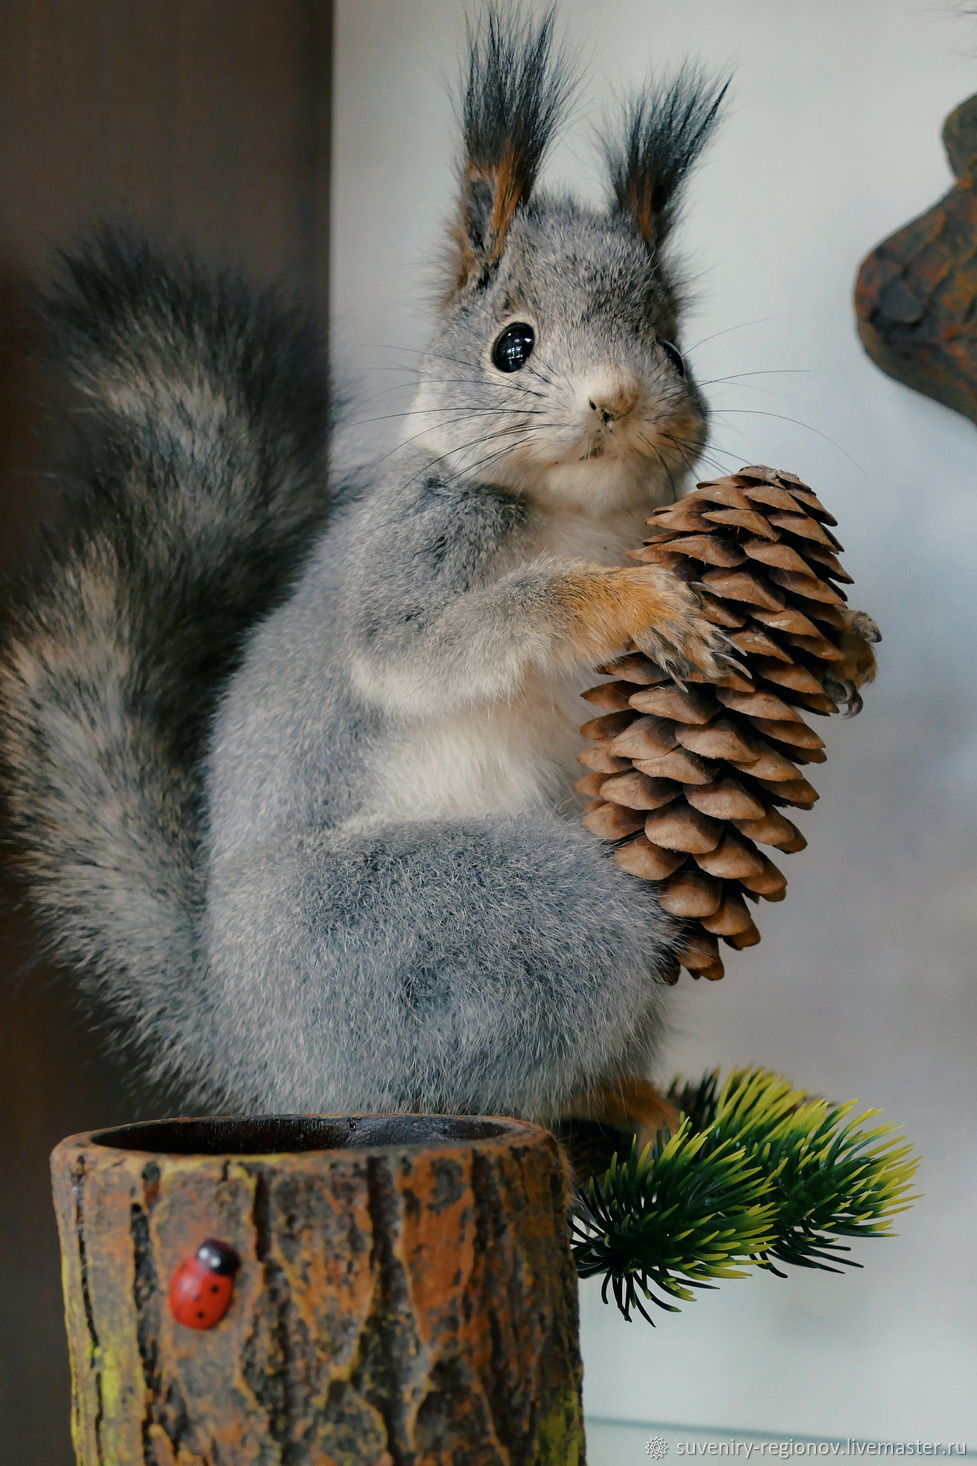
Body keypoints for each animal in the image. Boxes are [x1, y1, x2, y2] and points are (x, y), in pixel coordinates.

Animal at [0, 8, 868, 1143]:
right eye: (512, 346)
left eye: (671, 345)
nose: (616, 398)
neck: (585, 517)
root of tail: (254, 1052)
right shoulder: (417, 541)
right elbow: (416, 648)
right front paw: (627, 602)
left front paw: (844, 641)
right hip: (449, 931)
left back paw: (637, 1102)